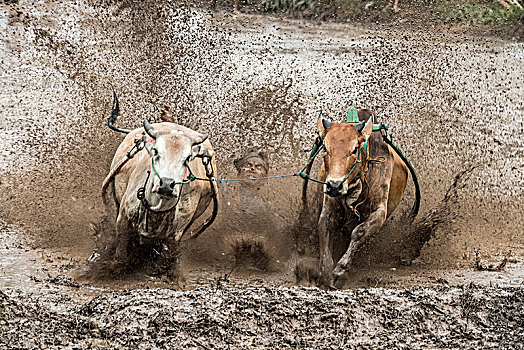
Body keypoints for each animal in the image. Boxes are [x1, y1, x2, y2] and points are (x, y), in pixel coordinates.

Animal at [316, 110, 418, 288]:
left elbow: (359, 232)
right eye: (325, 148)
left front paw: (340, 272)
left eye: (354, 149)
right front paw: (325, 273)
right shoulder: (328, 207)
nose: (334, 185)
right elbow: (324, 228)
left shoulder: (379, 212)